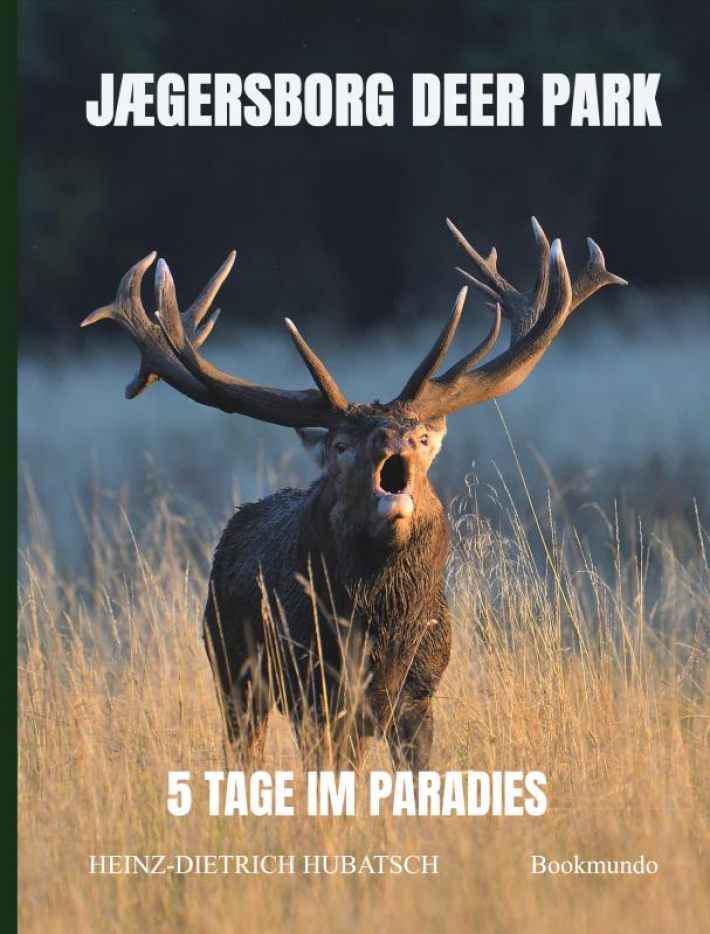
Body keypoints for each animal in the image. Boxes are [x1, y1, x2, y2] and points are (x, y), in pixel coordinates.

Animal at [81, 217, 626, 769]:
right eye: (342, 444)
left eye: (422, 437)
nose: (391, 438)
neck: (382, 634)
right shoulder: (315, 689)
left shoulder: (420, 691)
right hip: (232, 667)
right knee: (244, 746)